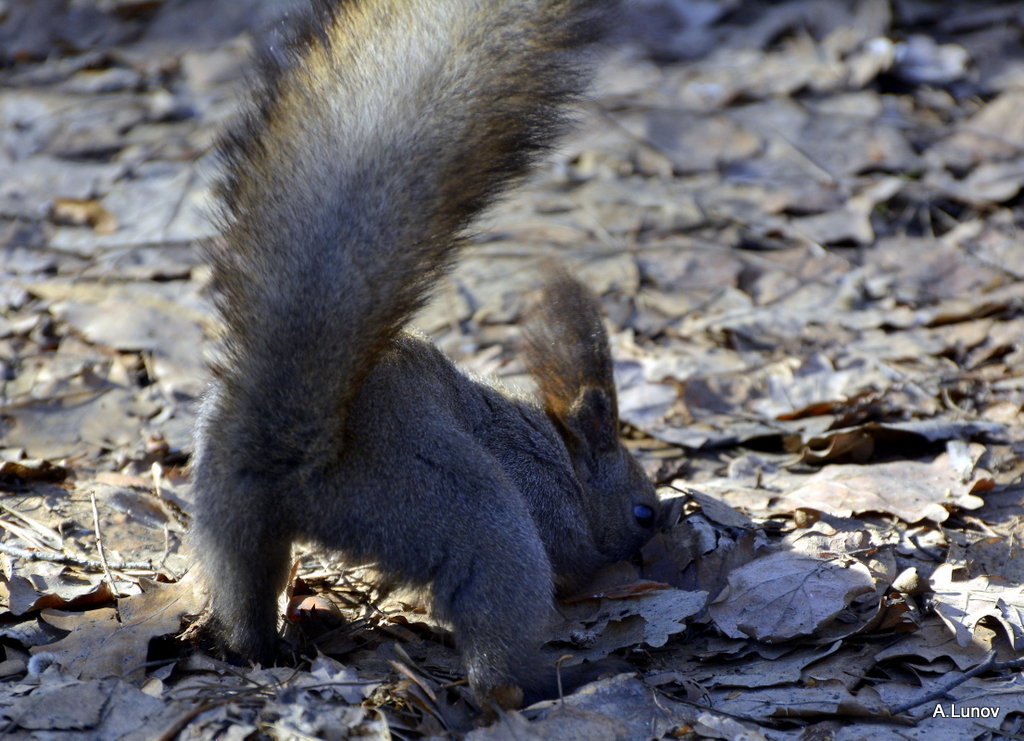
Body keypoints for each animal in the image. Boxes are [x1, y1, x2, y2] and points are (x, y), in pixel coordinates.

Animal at [188, 0, 659, 708]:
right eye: (642, 512)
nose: (667, 530)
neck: (562, 454)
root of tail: (293, 451)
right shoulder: (544, 501)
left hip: (227, 516)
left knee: (245, 597)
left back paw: (262, 647)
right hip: (460, 509)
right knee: (497, 658)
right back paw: (564, 679)